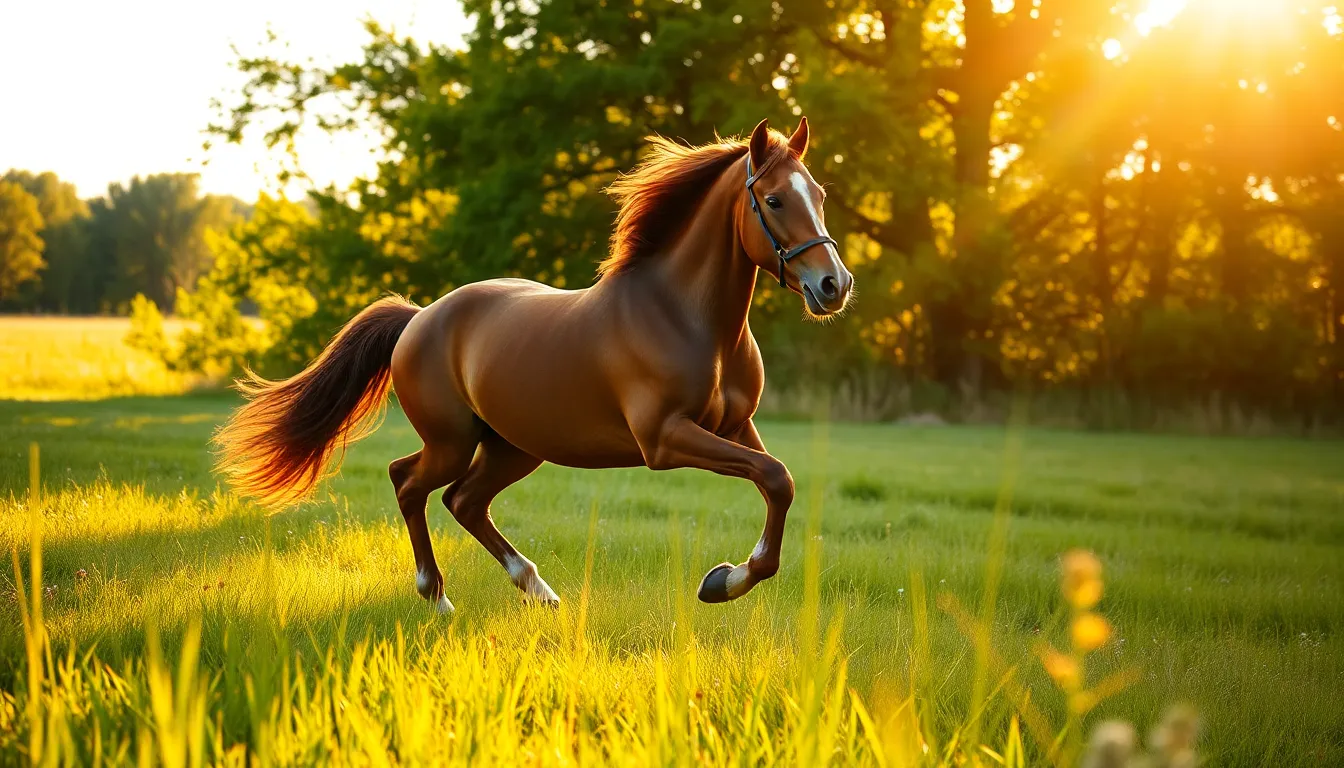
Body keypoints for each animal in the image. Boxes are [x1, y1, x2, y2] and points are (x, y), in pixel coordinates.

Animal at [215, 117, 854, 613]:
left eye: (820, 196)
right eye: (774, 200)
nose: (834, 285)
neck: (683, 317)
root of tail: (420, 318)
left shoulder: (735, 427)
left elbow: (778, 482)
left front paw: (722, 582)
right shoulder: (665, 439)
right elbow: (773, 476)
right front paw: (723, 580)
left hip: (514, 446)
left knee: (463, 501)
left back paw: (537, 589)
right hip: (453, 441)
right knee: (408, 482)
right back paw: (436, 594)